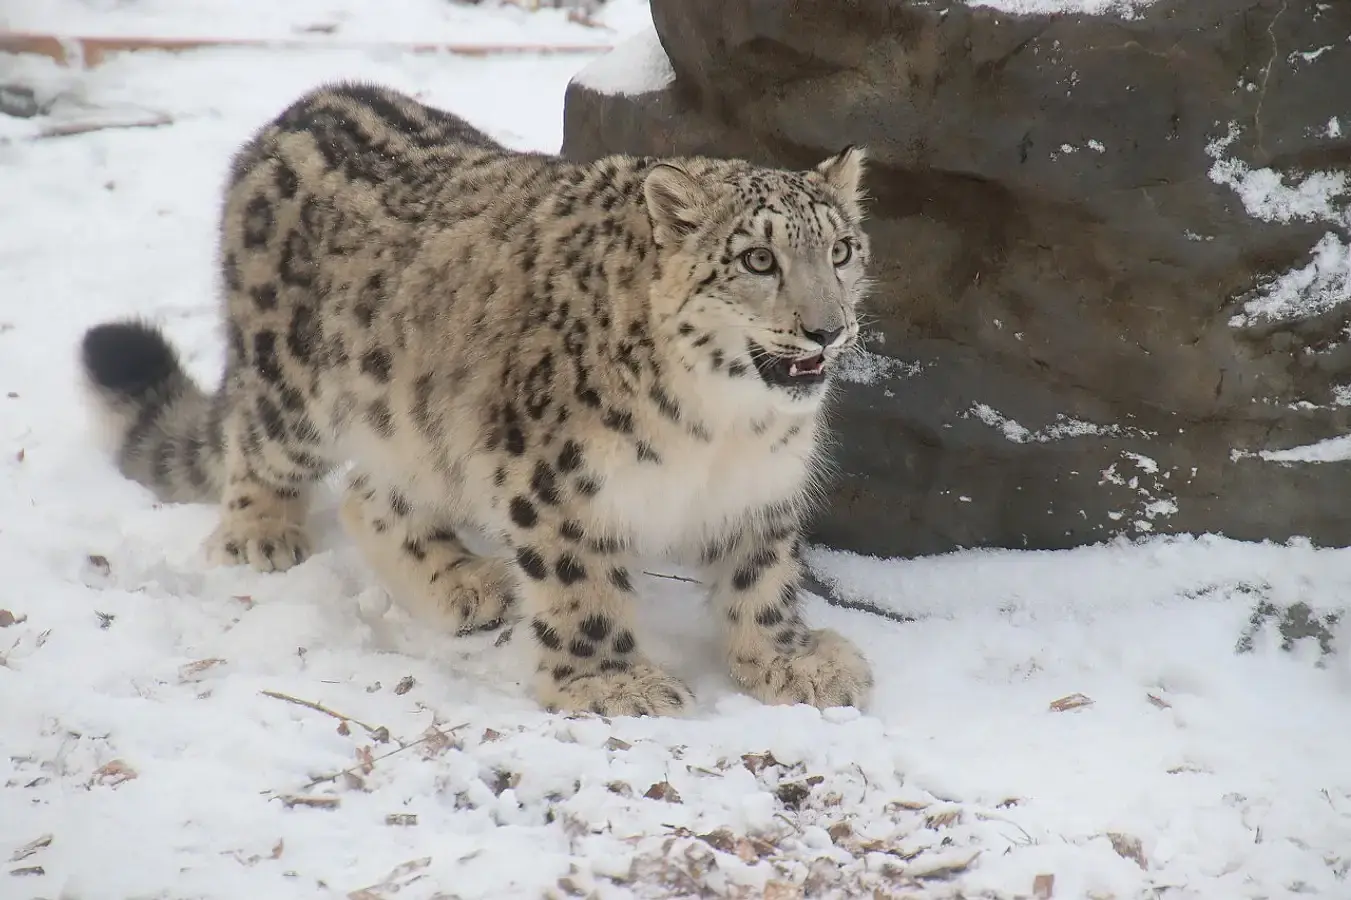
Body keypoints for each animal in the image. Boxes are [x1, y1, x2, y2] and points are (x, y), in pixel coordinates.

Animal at [79, 82, 875, 713]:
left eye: (841, 250)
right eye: (758, 259)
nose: (827, 329)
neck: (724, 426)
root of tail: (296, 112)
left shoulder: (762, 485)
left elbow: (761, 574)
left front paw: (792, 661)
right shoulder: (557, 480)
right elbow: (580, 584)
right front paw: (612, 683)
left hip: (413, 423)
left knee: (371, 494)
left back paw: (465, 583)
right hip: (293, 389)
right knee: (260, 446)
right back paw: (261, 535)